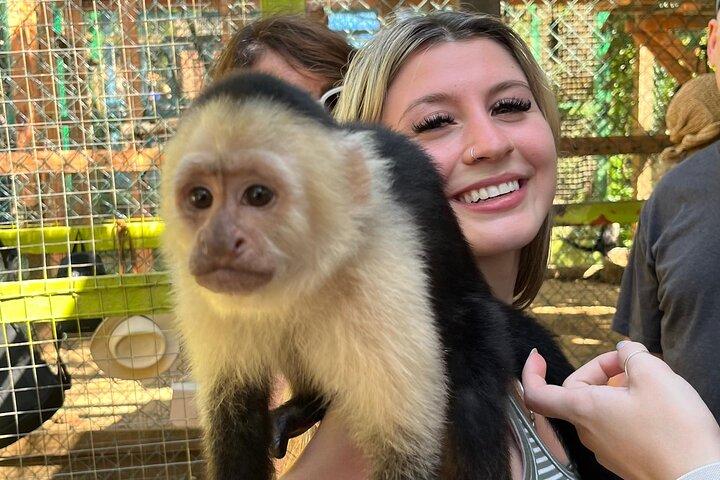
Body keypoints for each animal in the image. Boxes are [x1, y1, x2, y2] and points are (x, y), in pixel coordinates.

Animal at [161, 72, 616, 480]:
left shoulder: (379, 264)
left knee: (470, 349)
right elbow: (231, 414)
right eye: (200, 198)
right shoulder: (197, 288)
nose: (218, 242)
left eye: (258, 195)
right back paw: (307, 404)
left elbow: (407, 443)